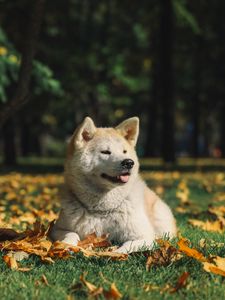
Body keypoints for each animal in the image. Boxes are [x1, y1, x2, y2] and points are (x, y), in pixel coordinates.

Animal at [50, 116, 177, 252]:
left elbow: (126, 247)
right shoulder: (58, 229)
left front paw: (114, 253)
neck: (102, 210)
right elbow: (71, 234)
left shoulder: (144, 236)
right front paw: (67, 245)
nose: (129, 162)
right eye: (105, 152)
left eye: (124, 151)